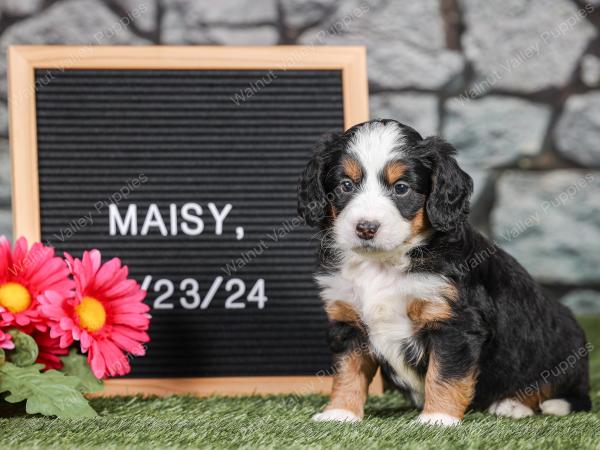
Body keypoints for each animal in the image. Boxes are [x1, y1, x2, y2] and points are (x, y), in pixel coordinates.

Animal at [298, 118, 592, 426]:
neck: (384, 262)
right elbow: (348, 373)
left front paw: (437, 419)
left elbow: (444, 375)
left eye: (401, 188)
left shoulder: (454, 322)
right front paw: (340, 412)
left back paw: (514, 404)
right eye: (346, 185)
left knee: (560, 391)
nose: (366, 228)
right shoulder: (348, 321)